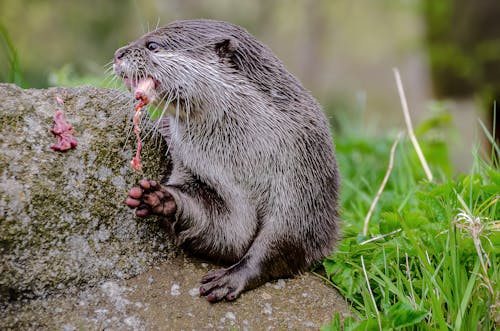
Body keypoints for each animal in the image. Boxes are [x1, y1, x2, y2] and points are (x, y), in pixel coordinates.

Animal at [113, 19, 340, 302]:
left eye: (152, 45)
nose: (118, 54)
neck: (243, 159)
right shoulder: (192, 165)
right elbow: (229, 232)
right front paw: (160, 198)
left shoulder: (303, 170)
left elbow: (286, 236)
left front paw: (233, 277)